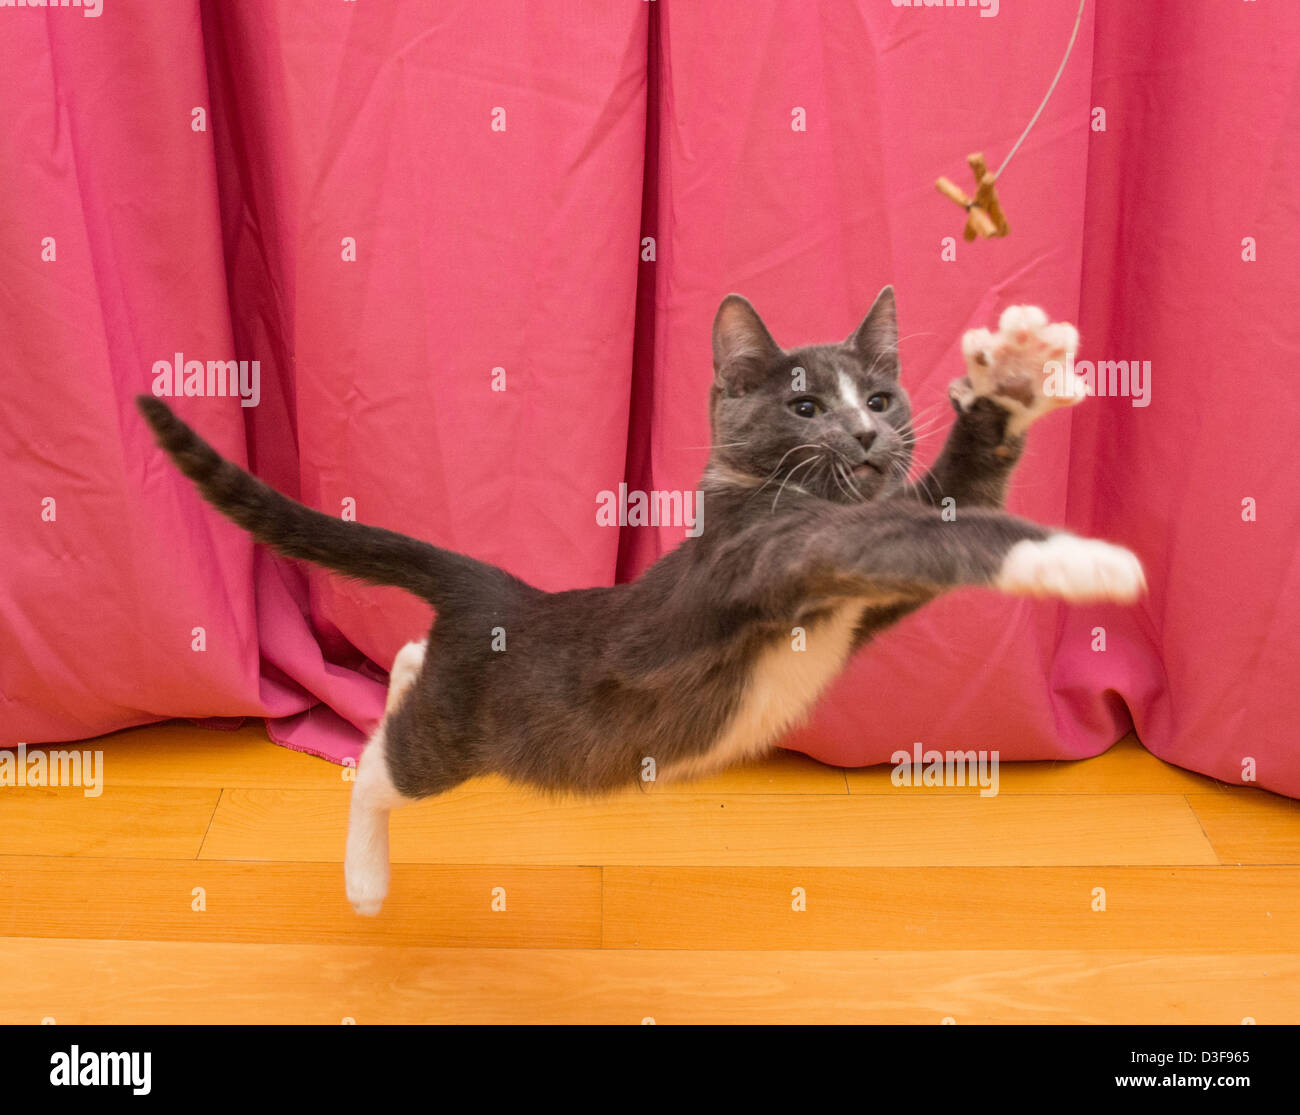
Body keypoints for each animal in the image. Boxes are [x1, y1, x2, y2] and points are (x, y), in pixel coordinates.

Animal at [137, 288, 1144, 914]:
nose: (866, 434)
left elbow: (952, 495)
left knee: (409, 670)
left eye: (883, 398)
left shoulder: (867, 582)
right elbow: (923, 534)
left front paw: (1013, 377)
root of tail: (495, 588)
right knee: (385, 766)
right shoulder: (775, 555)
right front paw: (1082, 558)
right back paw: (366, 878)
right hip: (471, 733)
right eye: (804, 408)